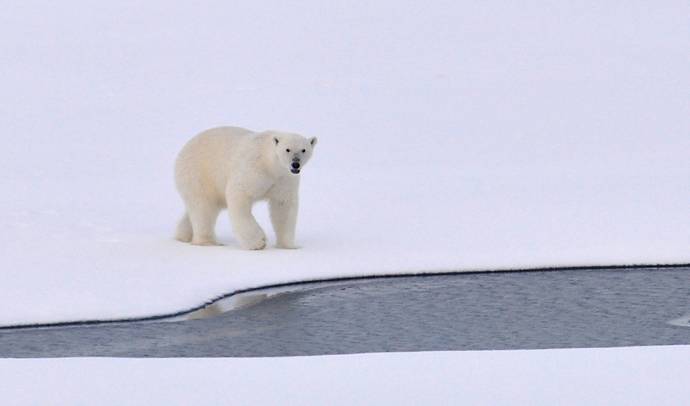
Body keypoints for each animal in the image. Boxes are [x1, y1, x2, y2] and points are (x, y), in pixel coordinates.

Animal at [173, 126, 316, 251]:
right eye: (287, 149)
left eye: (304, 150)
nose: (295, 164)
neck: (270, 164)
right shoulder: (253, 169)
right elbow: (239, 195)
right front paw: (258, 242)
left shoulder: (284, 179)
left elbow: (283, 206)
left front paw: (289, 246)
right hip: (199, 174)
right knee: (203, 207)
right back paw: (208, 242)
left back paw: (183, 235)